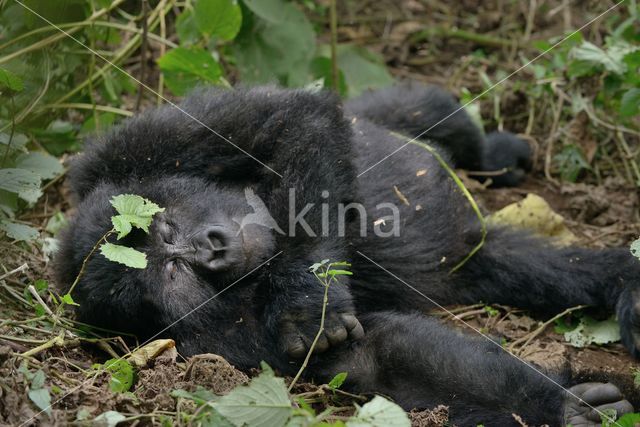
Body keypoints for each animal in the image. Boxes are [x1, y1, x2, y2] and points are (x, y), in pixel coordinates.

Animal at [56, 83, 640, 424]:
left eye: (167, 227)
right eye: (174, 274)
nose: (214, 250)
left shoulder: (130, 148)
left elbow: (292, 118)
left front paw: (305, 298)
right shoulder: (226, 346)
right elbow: (379, 358)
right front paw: (550, 408)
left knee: (427, 111)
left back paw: (493, 153)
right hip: (472, 258)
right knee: (519, 264)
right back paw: (621, 281)